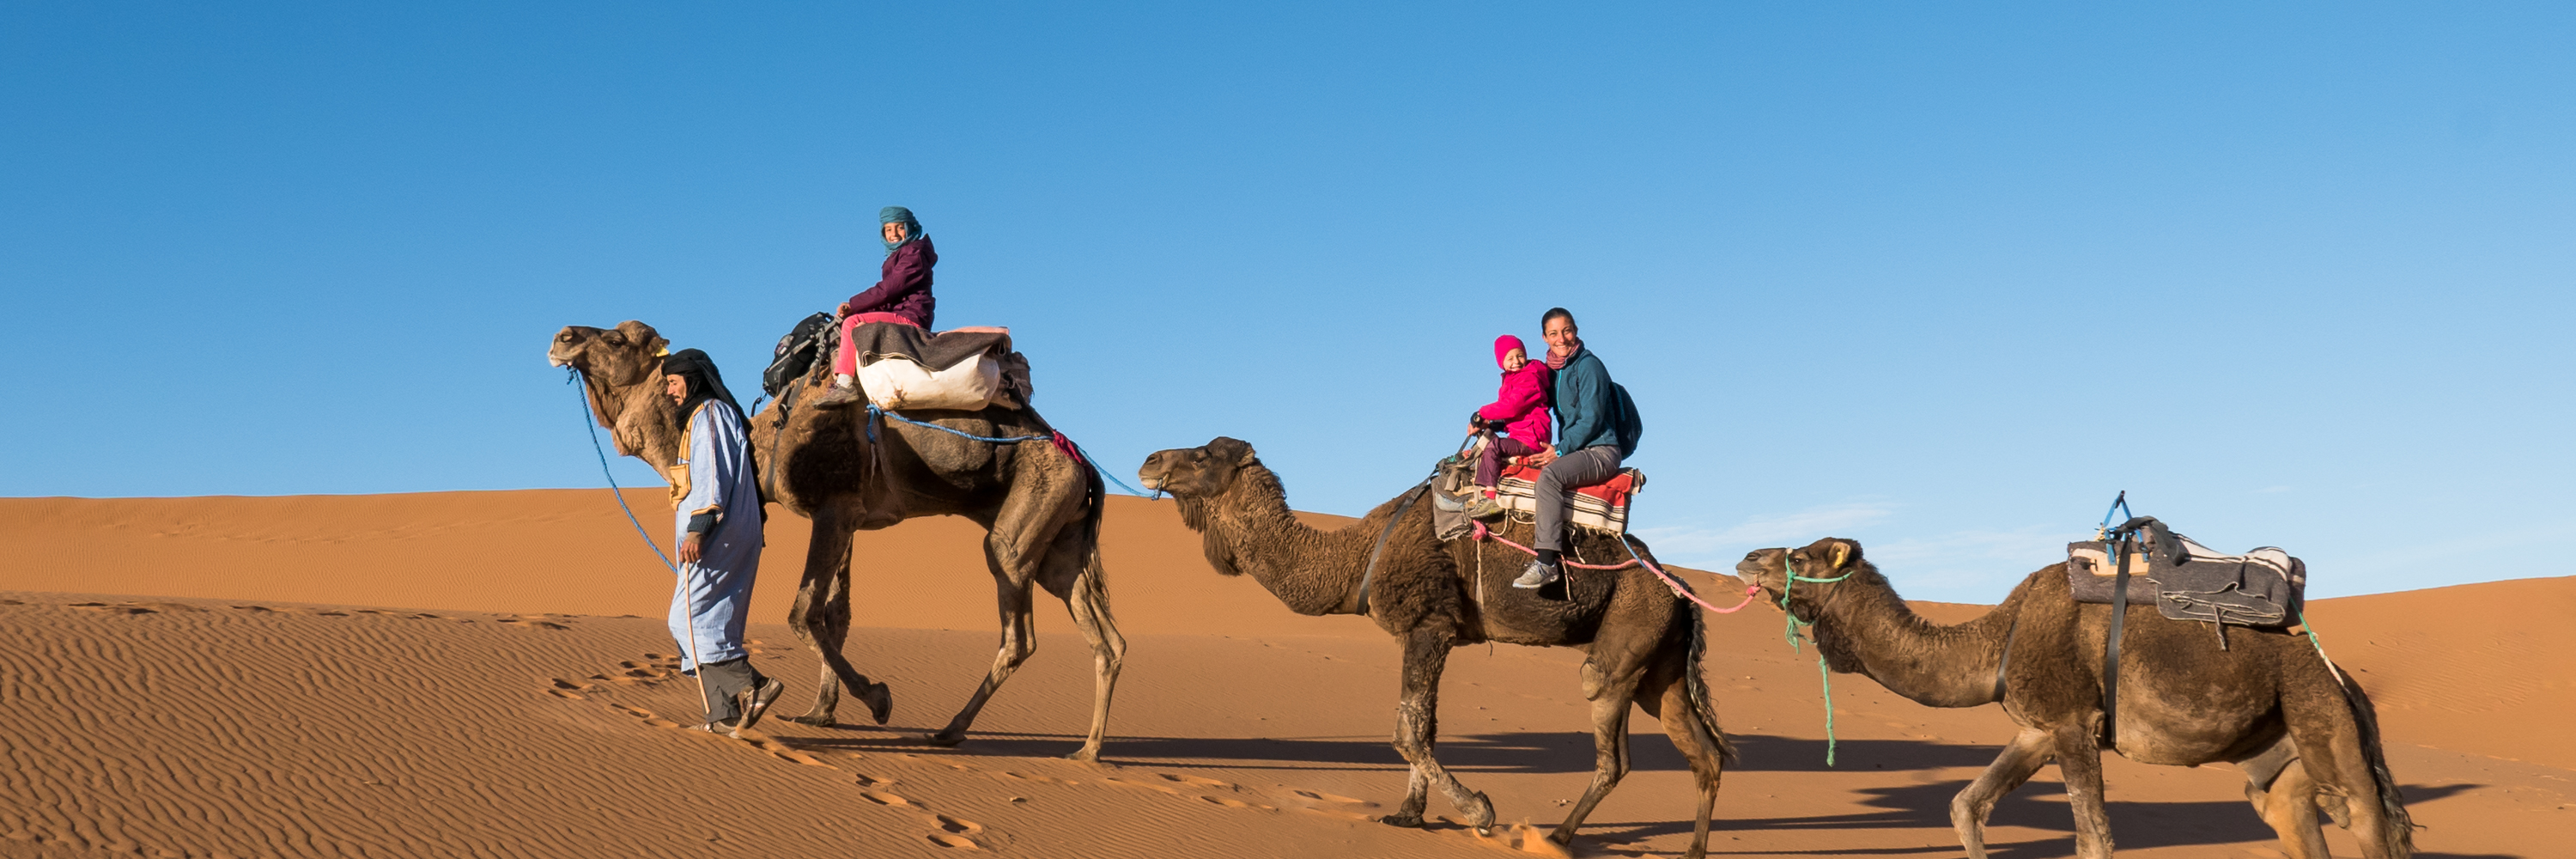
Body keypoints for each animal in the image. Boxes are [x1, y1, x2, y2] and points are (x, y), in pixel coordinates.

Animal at [549, 320, 1123, 758]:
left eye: (616, 339)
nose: (561, 337)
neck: (763, 441)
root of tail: (1083, 464)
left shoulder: (833, 509)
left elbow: (804, 612)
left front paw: (877, 699)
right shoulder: (849, 518)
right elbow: (835, 613)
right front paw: (819, 712)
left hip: (1022, 522)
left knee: (1018, 629)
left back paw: (952, 730)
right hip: (1060, 542)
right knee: (1105, 638)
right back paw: (1087, 748)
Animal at [1144, 438, 1731, 850]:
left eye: (1202, 454)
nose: (1150, 460)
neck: (1357, 557)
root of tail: (1678, 588)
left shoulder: (1429, 623)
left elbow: (1406, 730)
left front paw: (1479, 812)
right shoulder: (1430, 632)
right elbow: (1422, 723)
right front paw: (1407, 815)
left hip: (1627, 635)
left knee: (1611, 741)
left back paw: (1558, 838)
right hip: (1660, 665)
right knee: (1701, 752)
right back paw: (1691, 850)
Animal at [1731, 536, 2411, 856]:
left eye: (1798, 555)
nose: (1745, 558)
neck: (1998, 638)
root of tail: (2345, 679)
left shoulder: (2073, 722)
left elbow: (2095, 840)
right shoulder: (2037, 730)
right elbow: (1965, 805)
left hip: (2324, 721)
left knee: (2368, 821)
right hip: (2276, 760)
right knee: (2290, 816)